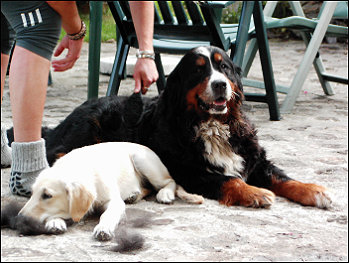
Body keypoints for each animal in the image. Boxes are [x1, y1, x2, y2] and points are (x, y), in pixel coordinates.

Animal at [8, 46, 328, 209]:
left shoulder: (253, 157)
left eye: (224, 68)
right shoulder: (190, 170)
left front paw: (313, 190)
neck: (211, 125)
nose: (220, 85)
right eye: (199, 70)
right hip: (91, 125)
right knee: (62, 154)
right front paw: (254, 193)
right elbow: (230, 180)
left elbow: (282, 177)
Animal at [19, 142, 203, 241]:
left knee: (170, 182)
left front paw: (104, 228)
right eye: (32, 193)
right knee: (147, 187)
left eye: (47, 195)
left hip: (144, 162)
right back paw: (133, 195)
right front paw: (55, 222)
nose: (19, 219)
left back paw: (165, 194)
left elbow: (108, 214)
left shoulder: (114, 202)